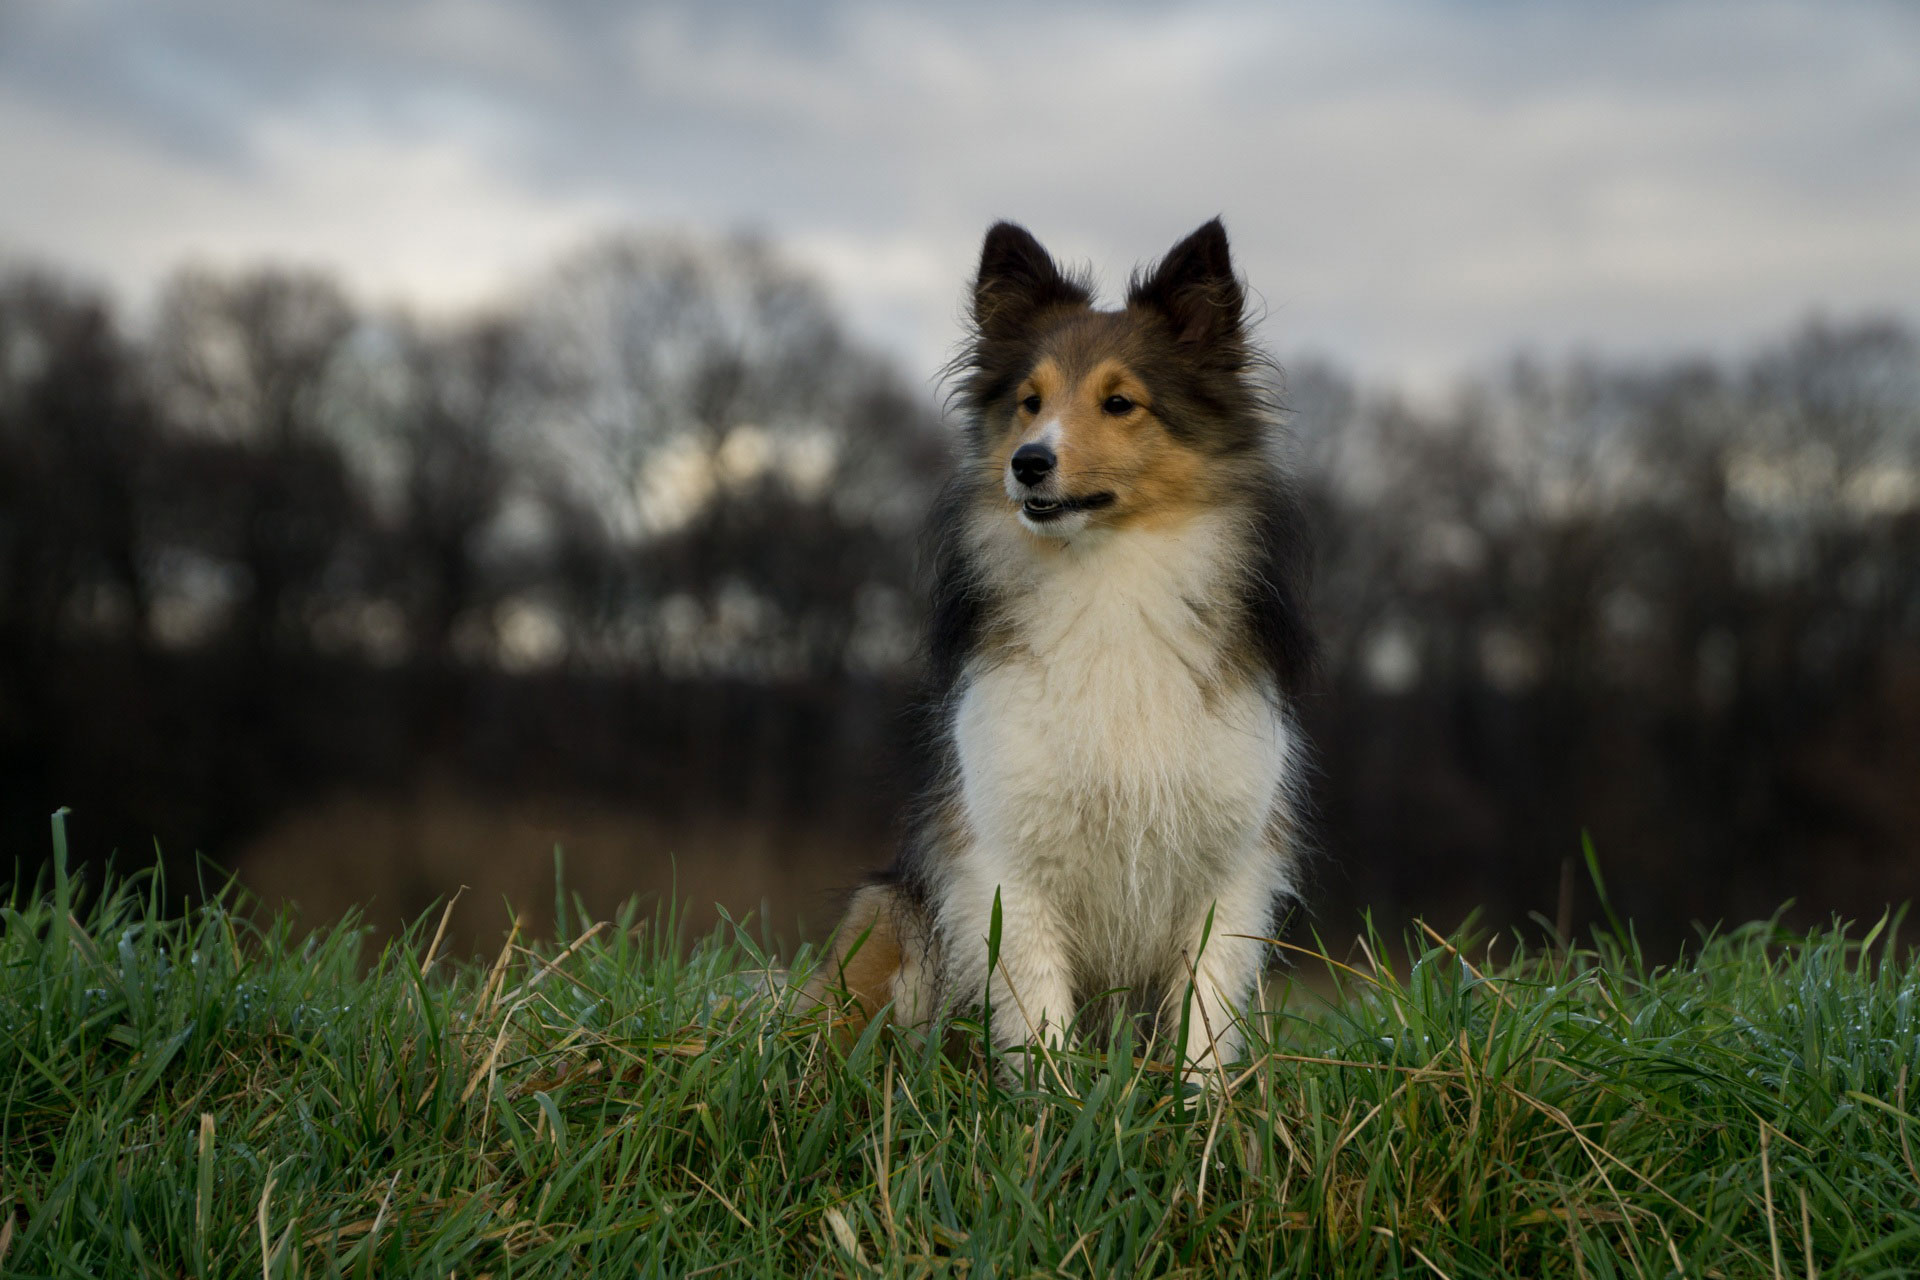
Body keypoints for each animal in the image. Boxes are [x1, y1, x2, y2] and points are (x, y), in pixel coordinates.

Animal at [802, 220, 1313, 1074]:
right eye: (1029, 402)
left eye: (1120, 403)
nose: (1029, 462)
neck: (1107, 580)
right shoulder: (1005, 866)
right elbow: (1040, 1012)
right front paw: (1059, 1101)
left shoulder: (1229, 868)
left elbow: (1202, 1024)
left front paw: (1197, 1105)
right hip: (889, 912)